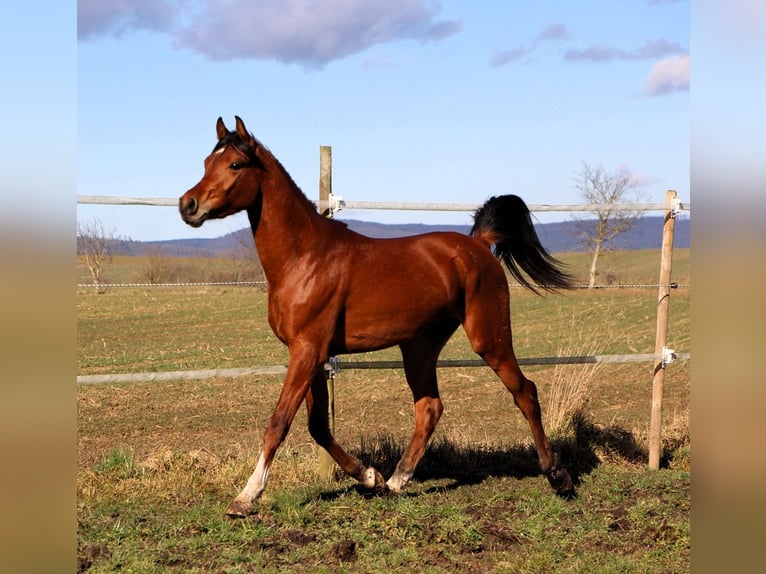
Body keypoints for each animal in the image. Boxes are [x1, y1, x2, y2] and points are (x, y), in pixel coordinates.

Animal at [180, 116, 576, 516]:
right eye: (206, 163)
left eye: (235, 164)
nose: (188, 205)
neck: (304, 259)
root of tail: (480, 244)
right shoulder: (314, 355)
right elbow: (318, 426)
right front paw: (371, 477)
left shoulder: (306, 351)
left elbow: (279, 422)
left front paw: (245, 497)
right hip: (419, 346)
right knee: (429, 407)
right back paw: (397, 481)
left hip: (488, 336)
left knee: (525, 392)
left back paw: (558, 476)